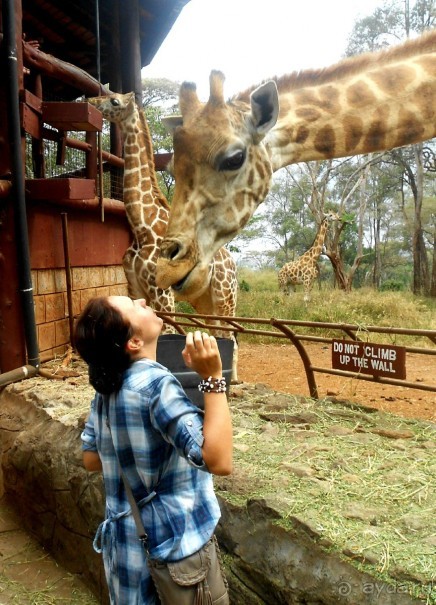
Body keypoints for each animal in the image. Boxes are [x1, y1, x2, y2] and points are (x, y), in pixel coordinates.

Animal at [87, 91, 240, 378]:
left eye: (114, 101)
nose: (91, 101)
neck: (141, 227)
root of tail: (233, 263)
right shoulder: (135, 291)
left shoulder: (163, 295)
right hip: (204, 301)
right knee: (219, 332)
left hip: (225, 295)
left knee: (231, 334)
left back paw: (235, 380)